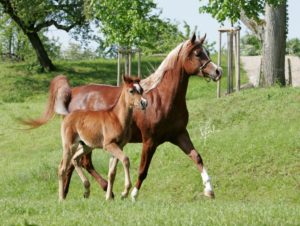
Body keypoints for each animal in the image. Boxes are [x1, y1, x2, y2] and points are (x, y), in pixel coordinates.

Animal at [25, 33, 220, 200]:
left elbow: (197, 157)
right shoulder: (150, 141)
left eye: (207, 52)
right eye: (197, 54)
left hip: (83, 142)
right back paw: (102, 190)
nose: (217, 71)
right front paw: (131, 194)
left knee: (74, 164)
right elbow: (143, 170)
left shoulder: (179, 135)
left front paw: (209, 190)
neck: (163, 98)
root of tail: (73, 92)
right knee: (80, 163)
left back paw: (71, 193)